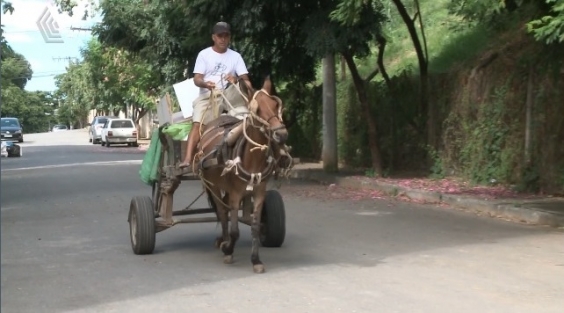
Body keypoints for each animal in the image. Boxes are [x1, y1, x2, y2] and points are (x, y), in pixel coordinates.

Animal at [194, 74, 290, 272]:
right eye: (257, 109)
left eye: (275, 104)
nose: (282, 135)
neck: (252, 158)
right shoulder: (236, 193)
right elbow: (235, 230)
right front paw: (228, 250)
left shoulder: (259, 191)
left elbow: (254, 226)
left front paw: (256, 260)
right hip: (214, 185)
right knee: (222, 212)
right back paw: (224, 242)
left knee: (224, 211)